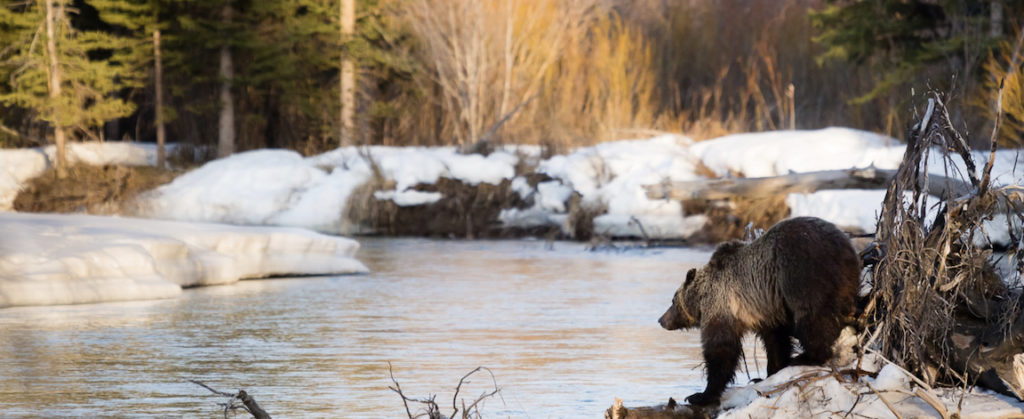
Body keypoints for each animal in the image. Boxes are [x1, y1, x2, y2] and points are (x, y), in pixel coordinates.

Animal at [658, 216, 861, 406]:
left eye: (673, 300)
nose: (661, 319)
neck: (702, 298)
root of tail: (845, 248)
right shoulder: (767, 310)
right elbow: (776, 340)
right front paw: (767, 373)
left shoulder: (722, 306)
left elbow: (721, 348)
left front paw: (700, 395)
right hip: (842, 282)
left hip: (803, 273)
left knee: (813, 318)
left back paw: (807, 357)